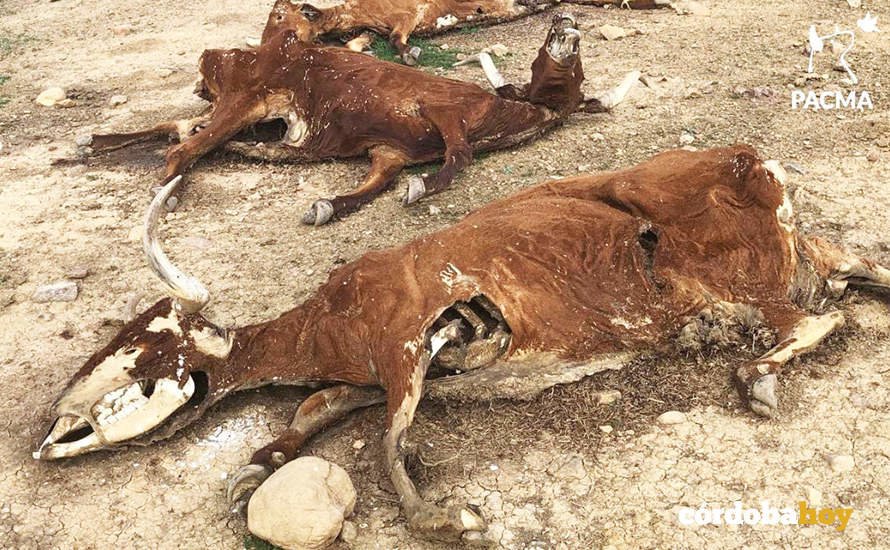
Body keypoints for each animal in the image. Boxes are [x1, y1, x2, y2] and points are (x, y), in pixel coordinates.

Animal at [35, 146, 890, 543]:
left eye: (143, 351)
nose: (50, 430)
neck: (323, 321)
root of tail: (759, 164)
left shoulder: (405, 341)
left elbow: (386, 450)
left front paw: (451, 519)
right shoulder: (368, 375)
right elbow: (311, 413)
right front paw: (258, 463)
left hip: (740, 281)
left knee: (815, 321)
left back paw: (757, 375)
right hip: (799, 258)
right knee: (859, 270)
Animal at [86, 15, 634, 226]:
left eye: (577, 74)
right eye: (549, 59)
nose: (565, 21)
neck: (499, 113)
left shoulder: (388, 153)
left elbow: (377, 183)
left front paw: (326, 205)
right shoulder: (443, 111)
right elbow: (458, 157)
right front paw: (421, 188)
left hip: (235, 108)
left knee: (184, 129)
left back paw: (92, 143)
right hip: (246, 99)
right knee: (185, 147)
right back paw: (166, 183)